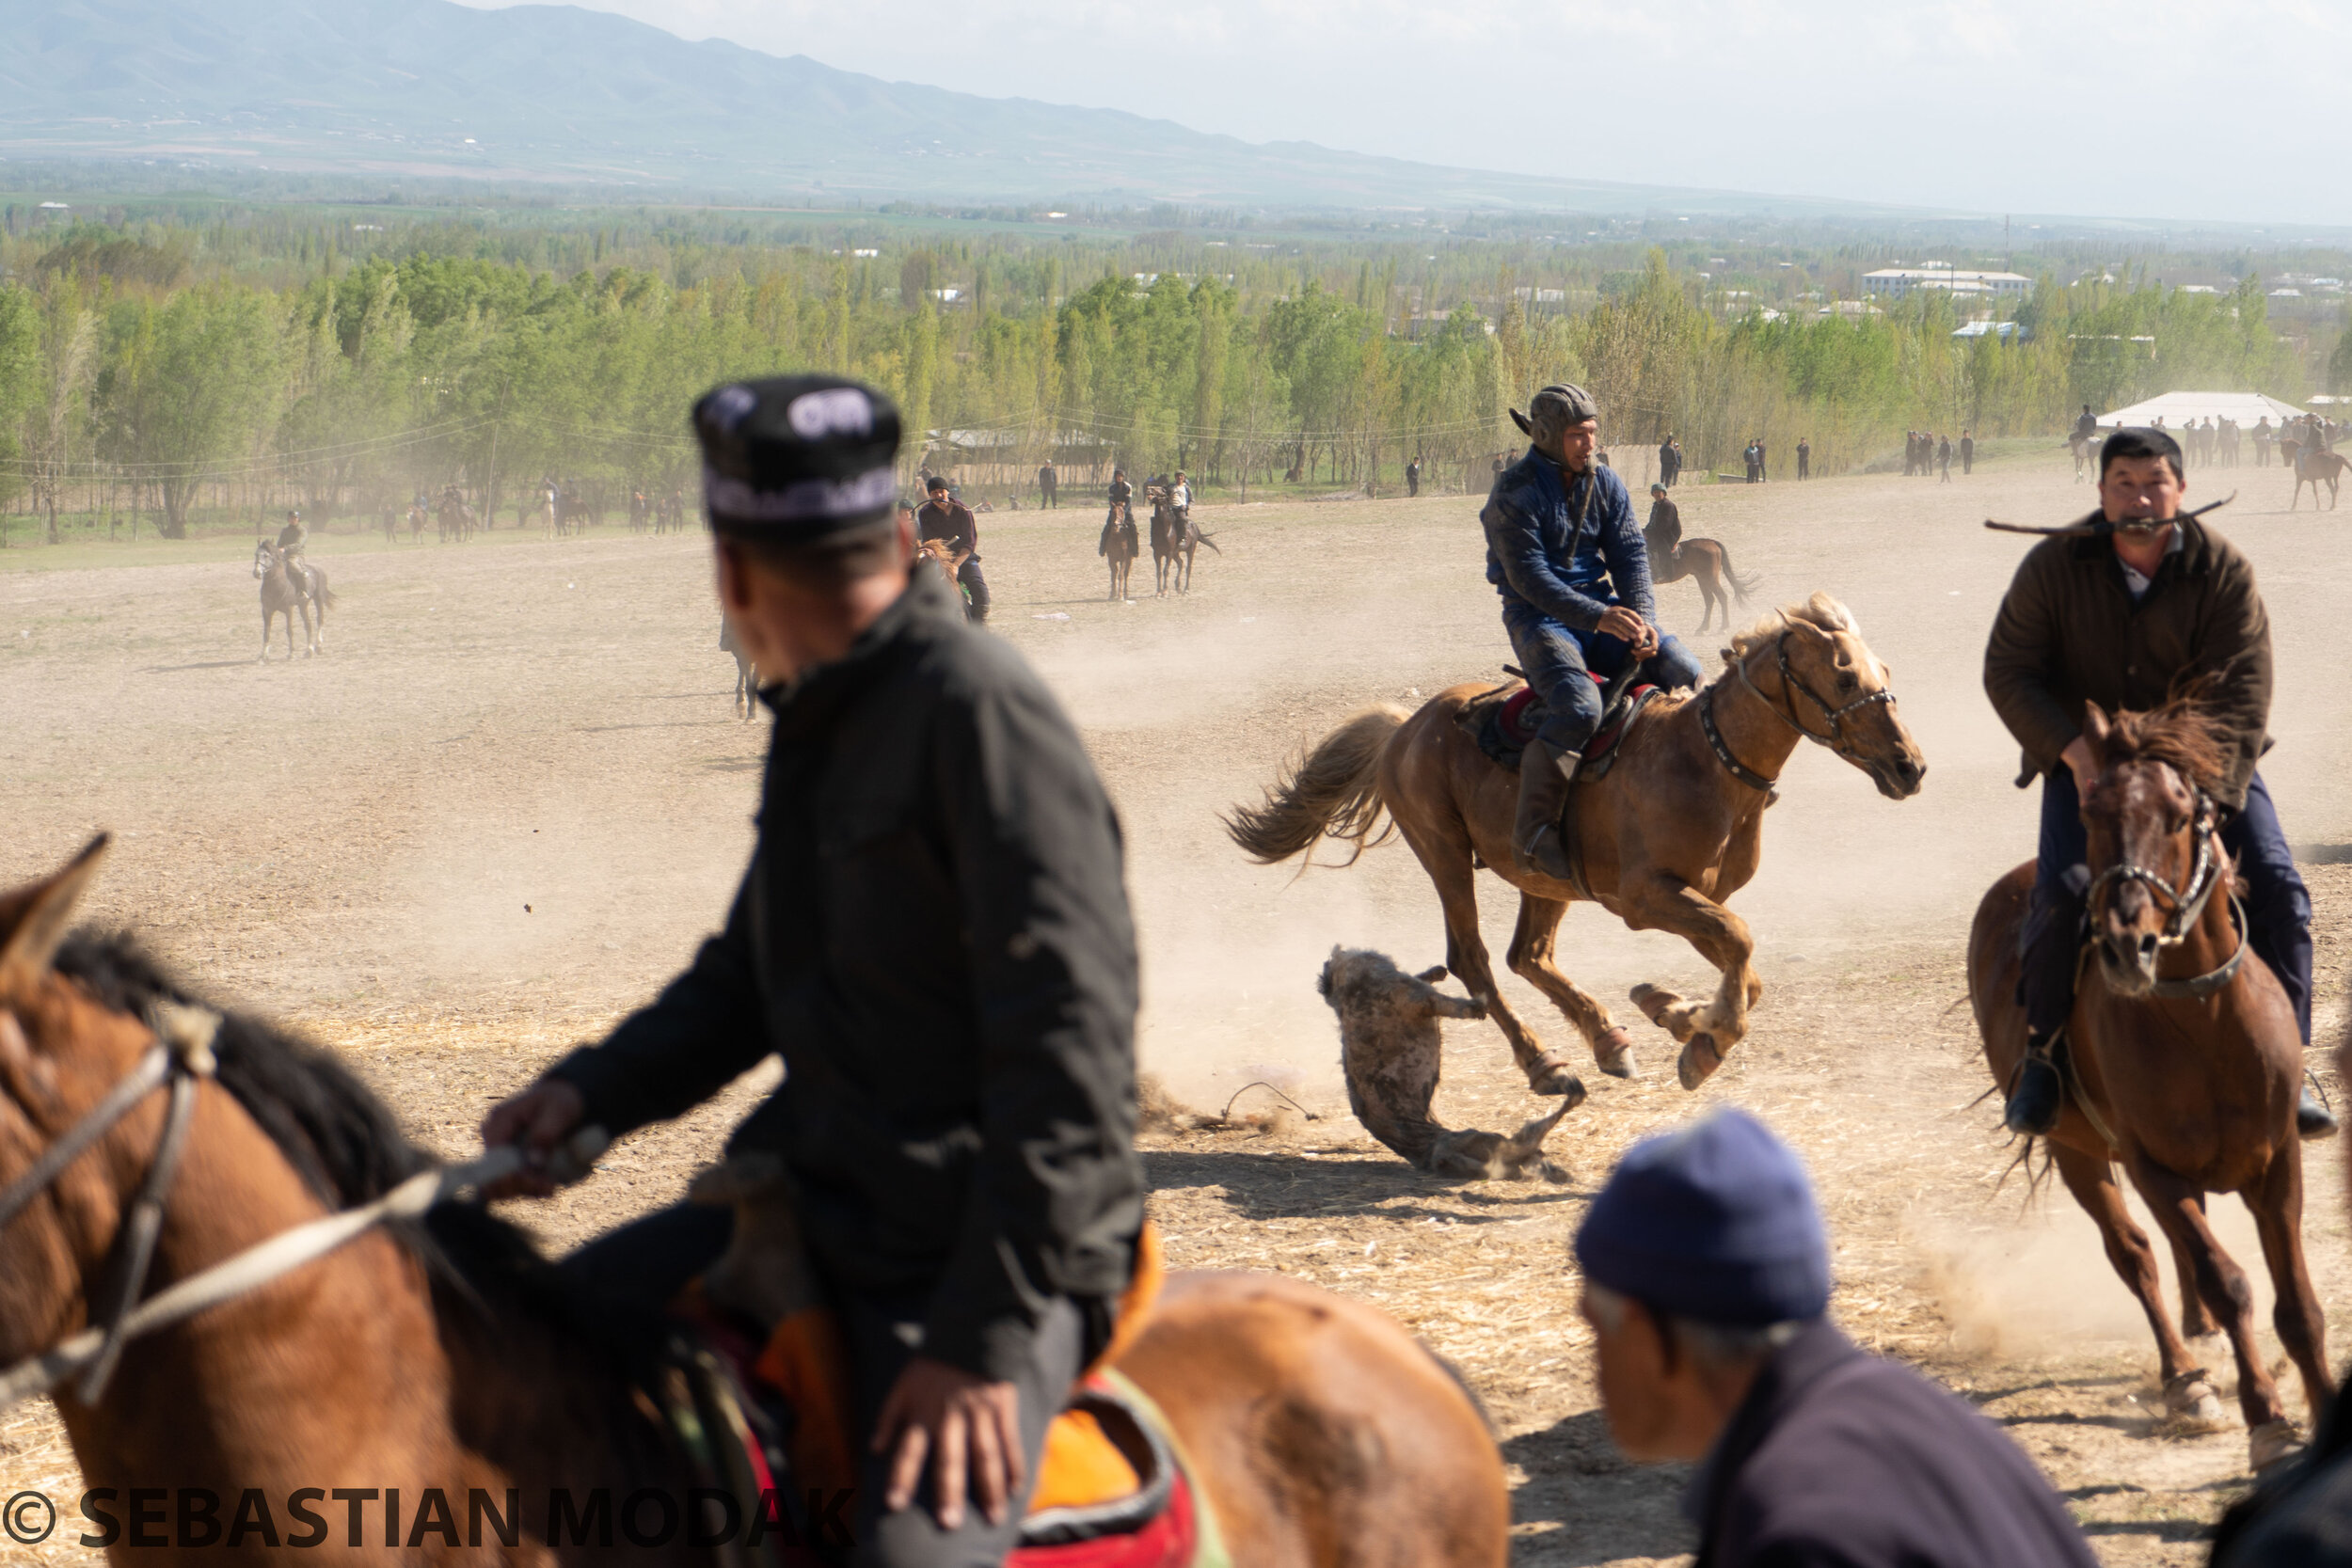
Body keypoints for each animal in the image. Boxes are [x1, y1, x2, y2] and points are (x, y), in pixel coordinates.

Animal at [250, 540, 334, 662]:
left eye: (266, 555)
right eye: (256, 554)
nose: (256, 573)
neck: (275, 585)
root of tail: (318, 569)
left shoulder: (289, 610)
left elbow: (289, 631)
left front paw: (291, 653)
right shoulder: (266, 610)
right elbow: (266, 632)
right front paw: (264, 656)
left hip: (318, 600)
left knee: (320, 620)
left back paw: (318, 647)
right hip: (303, 605)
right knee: (308, 624)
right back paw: (309, 650)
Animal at [1223, 594, 1919, 1100]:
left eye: (1886, 671)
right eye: (1845, 676)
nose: (1909, 766)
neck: (1704, 761)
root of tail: (1406, 727)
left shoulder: (1697, 898)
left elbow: (1745, 971)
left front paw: (1676, 1015)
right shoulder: (1646, 898)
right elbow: (1742, 948)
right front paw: (1702, 1037)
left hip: (1545, 877)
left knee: (1527, 954)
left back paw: (1609, 1038)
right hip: (1443, 853)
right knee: (1474, 958)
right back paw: (1545, 1063)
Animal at [1966, 705, 2333, 1476]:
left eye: (2181, 815)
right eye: (2092, 811)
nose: (2125, 943)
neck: (2205, 1024)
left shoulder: (2278, 1159)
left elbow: (2295, 1304)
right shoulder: (2151, 1165)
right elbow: (2227, 1280)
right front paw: (2267, 1421)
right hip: (2076, 1151)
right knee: (2134, 1252)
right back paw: (2185, 1378)